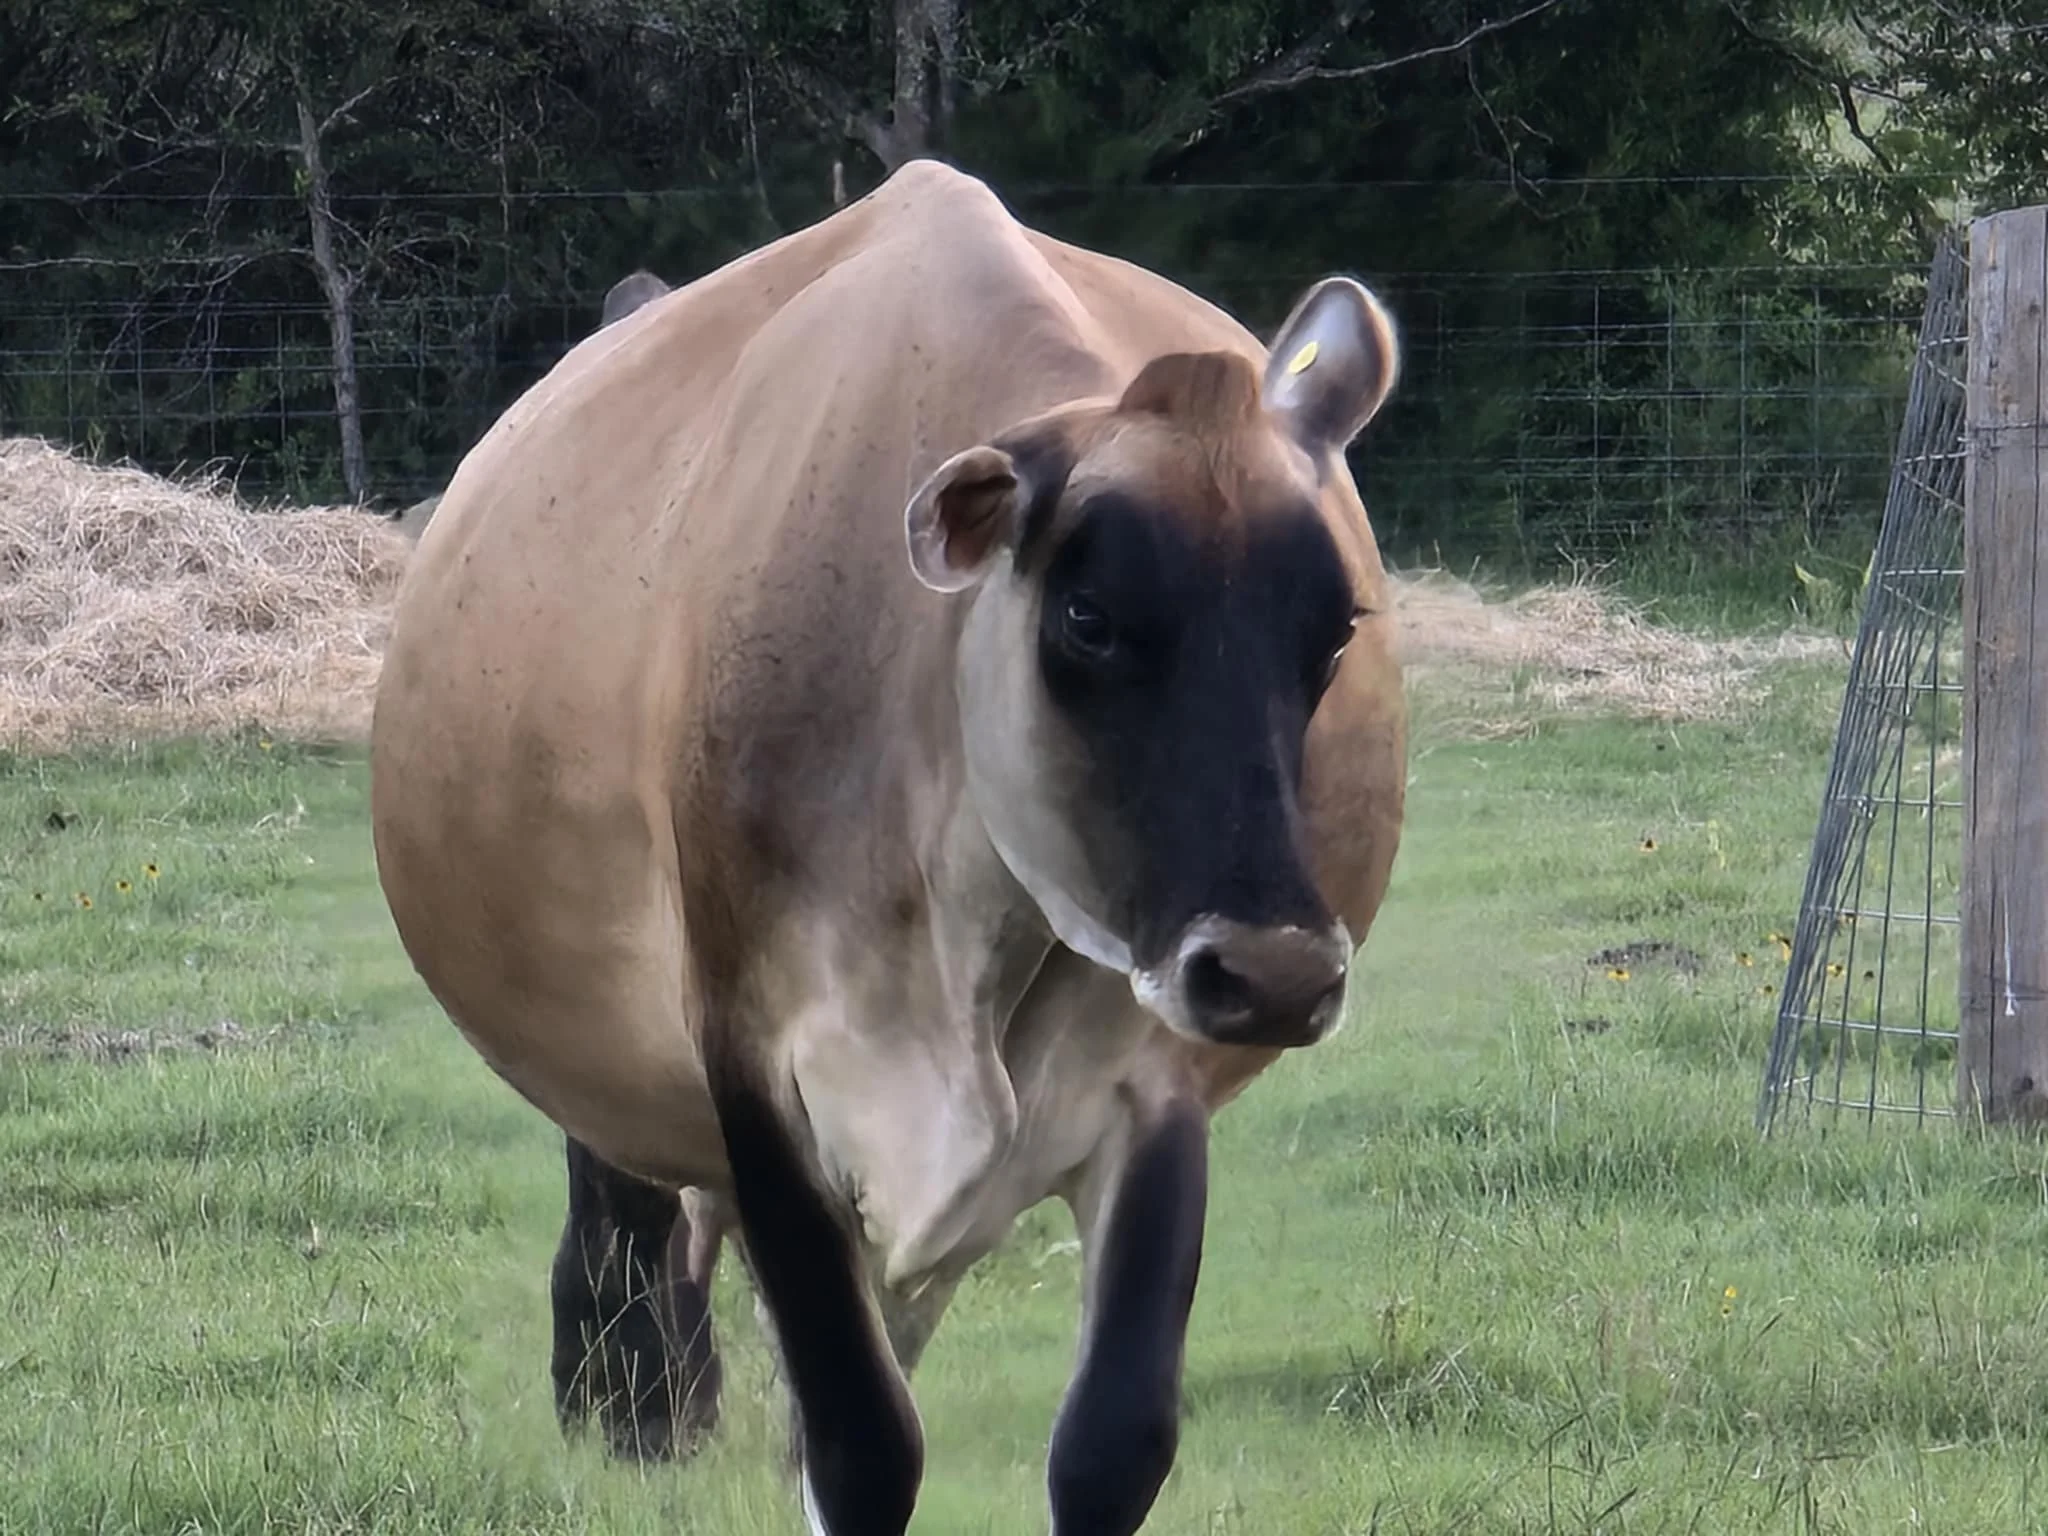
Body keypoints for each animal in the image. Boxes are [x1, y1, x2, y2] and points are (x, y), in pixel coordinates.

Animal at [368, 158, 1406, 1536]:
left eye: (1331, 627)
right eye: (1087, 617)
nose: (1275, 973)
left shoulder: (1153, 1083)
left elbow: (1107, 1442)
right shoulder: (753, 1060)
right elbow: (861, 1444)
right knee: (629, 1229)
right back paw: (632, 1404)